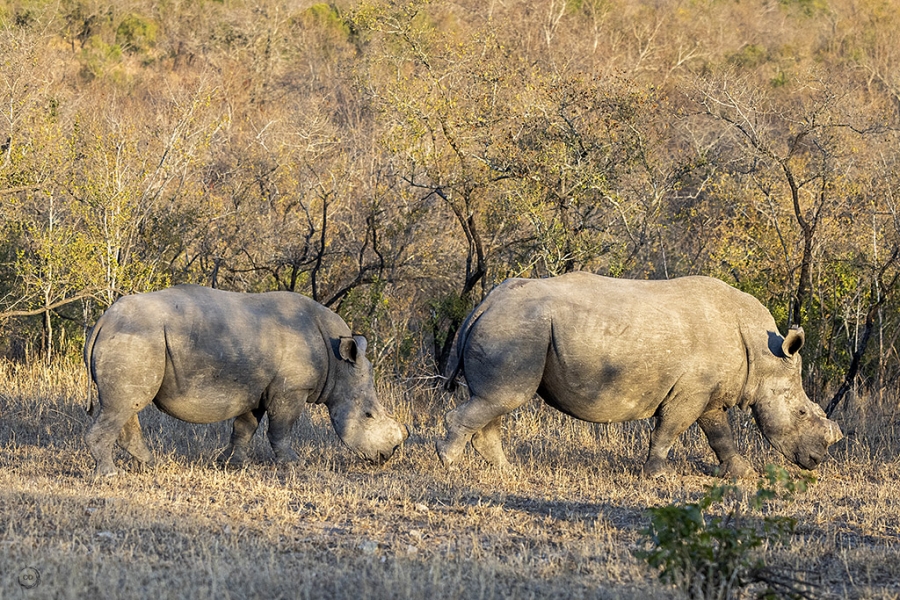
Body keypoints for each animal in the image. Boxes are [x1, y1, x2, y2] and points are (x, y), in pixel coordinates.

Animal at [84, 285, 407, 476]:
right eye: (368, 415)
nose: (387, 455)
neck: (339, 363)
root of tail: (103, 322)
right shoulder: (291, 389)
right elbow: (281, 429)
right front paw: (294, 464)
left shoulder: (257, 387)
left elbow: (244, 427)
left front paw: (233, 464)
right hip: (137, 338)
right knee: (122, 406)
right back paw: (109, 474)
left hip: (135, 339)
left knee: (127, 405)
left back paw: (151, 465)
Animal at [438, 273, 843, 478]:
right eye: (802, 413)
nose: (817, 461)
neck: (763, 355)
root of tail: (484, 303)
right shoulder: (691, 391)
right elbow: (670, 429)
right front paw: (655, 476)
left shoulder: (708, 393)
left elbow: (719, 434)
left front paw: (742, 475)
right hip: (519, 328)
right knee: (504, 398)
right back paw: (449, 463)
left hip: (515, 327)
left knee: (494, 402)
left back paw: (507, 471)